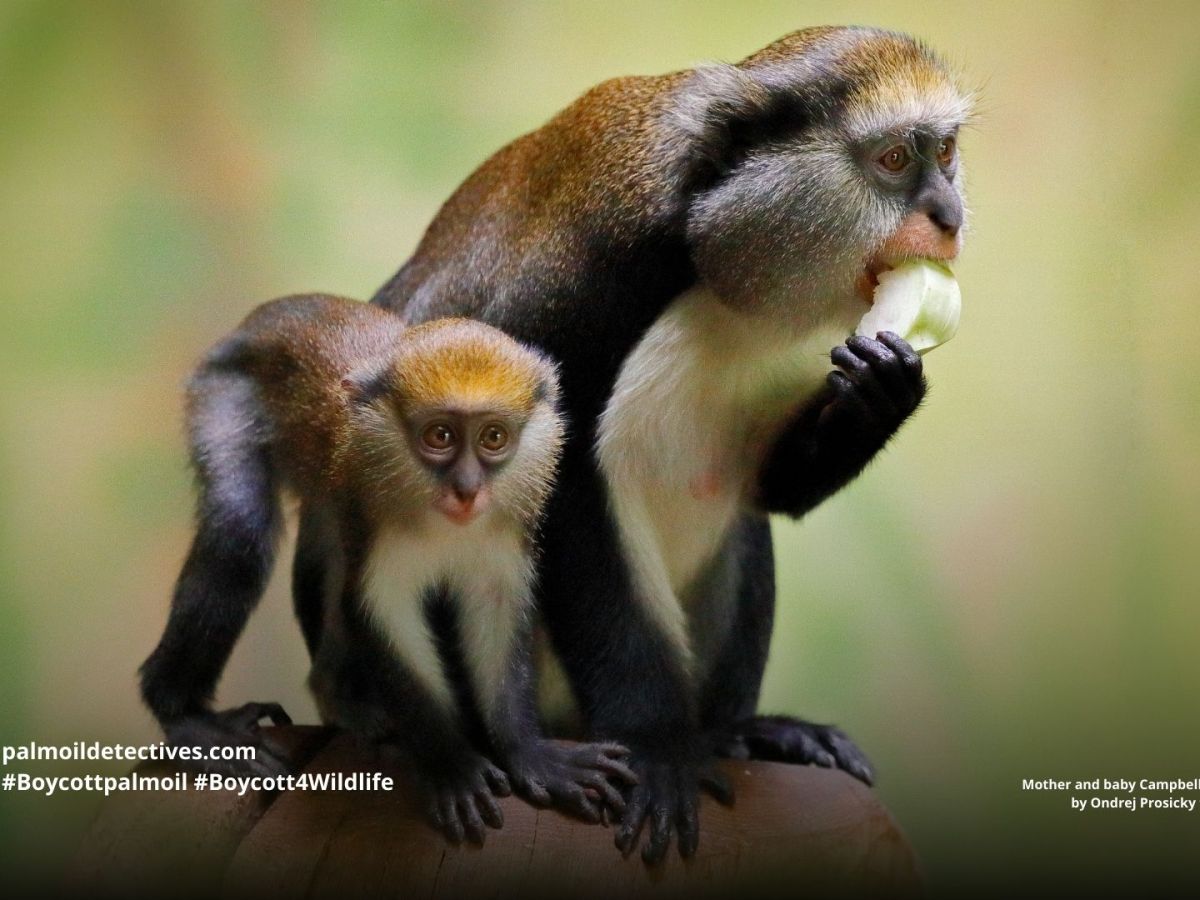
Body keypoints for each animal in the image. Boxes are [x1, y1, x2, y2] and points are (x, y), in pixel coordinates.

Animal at [139, 294, 635, 844]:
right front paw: (452, 766)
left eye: (493, 437)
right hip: (223, 395)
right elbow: (383, 615)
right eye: (440, 435)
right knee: (237, 533)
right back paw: (186, 717)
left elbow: (497, 614)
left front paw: (530, 754)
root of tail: (264, 319)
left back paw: (337, 691)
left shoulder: (502, 540)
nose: (467, 489)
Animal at [360, 26, 972, 862]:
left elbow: (773, 490)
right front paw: (655, 747)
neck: (706, 243)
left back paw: (742, 733)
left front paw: (883, 392)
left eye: (945, 152)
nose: (951, 215)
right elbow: (557, 493)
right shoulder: (578, 281)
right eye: (894, 159)